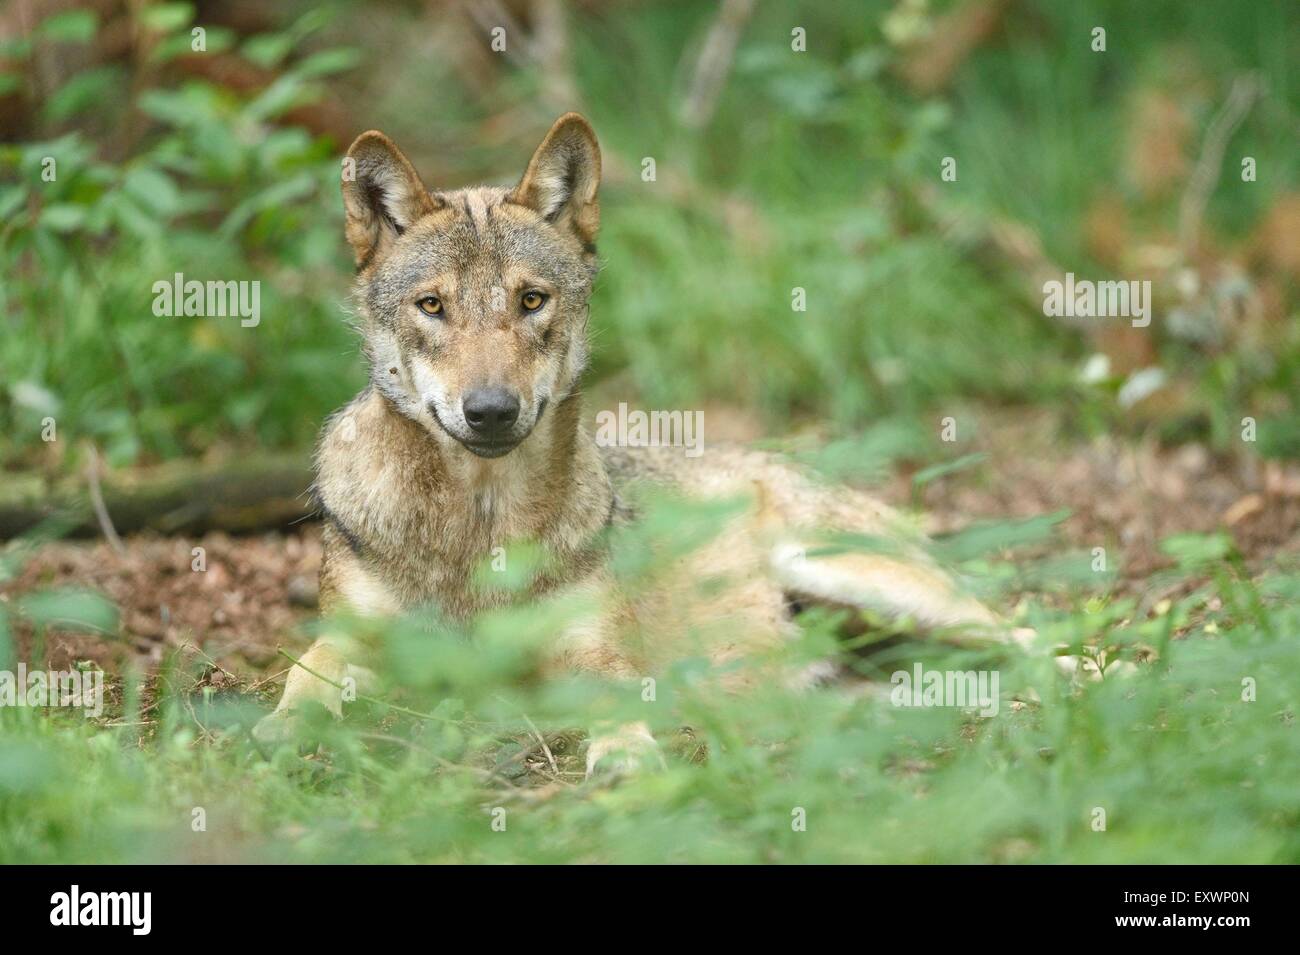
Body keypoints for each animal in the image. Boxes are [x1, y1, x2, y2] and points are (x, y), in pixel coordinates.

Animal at [250, 113, 1024, 779]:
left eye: (532, 301)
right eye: (432, 306)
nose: (492, 411)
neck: (480, 530)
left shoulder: (597, 654)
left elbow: (615, 700)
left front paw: (626, 754)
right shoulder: (352, 641)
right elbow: (304, 679)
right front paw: (276, 734)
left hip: (876, 583)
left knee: (1026, 632)